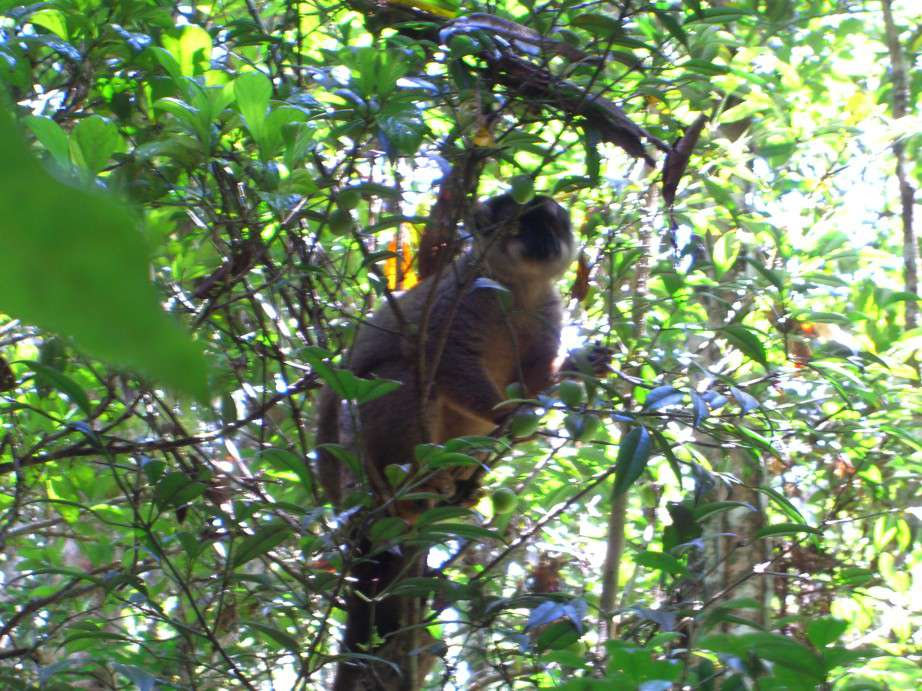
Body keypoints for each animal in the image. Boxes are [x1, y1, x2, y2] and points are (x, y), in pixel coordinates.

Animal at [315, 193, 578, 690]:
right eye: (519, 226)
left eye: (552, 226)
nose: (544, 242)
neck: (518, 288)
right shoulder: (463, 296)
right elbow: (443, 359)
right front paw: (507, 412)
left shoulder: (548, 311)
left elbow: (534, 376)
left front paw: (575, 369)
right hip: (357, 454)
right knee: (400, 374)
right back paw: (414, 493)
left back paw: (461, 484)